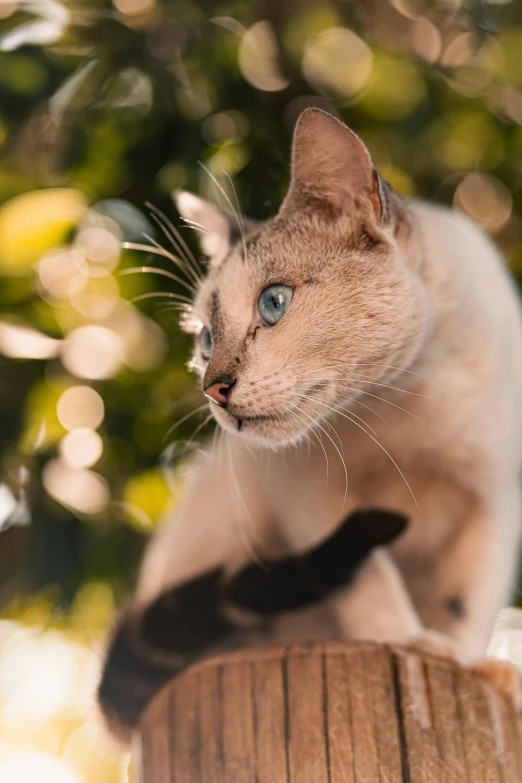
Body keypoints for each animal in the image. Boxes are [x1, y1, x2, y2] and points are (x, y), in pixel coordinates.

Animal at [96, 108, 520, 740]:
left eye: (273, 303)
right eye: (205, 340)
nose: (213, 391)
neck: (400, 405)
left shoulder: (495, 501)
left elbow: (466, 602)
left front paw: (470, 666)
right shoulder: (307, 495)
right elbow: (369, 580)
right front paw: (408, 642)